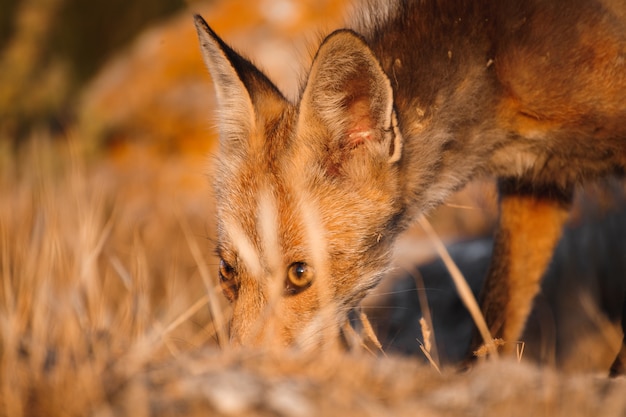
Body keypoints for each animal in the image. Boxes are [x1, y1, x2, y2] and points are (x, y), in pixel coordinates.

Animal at [190, 0, 624, 360]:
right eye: (226, 272)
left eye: (299, 274)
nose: (241, 367)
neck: (495, 62)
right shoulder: (535, 186)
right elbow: (490, 334)